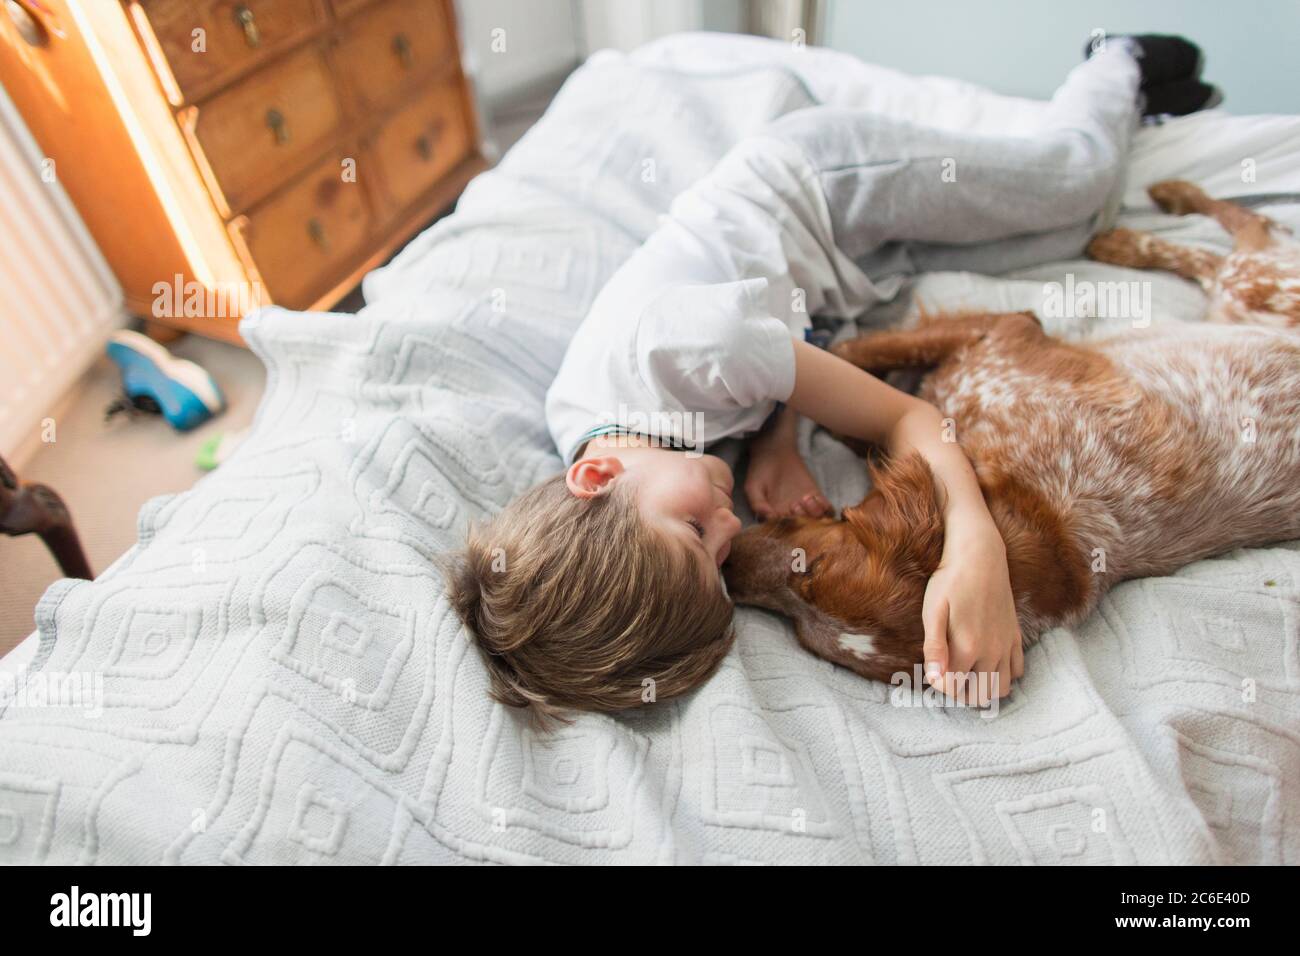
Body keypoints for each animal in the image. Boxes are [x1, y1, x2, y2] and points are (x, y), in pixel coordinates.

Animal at [728, 183, 1294, 686]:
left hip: (1255, 282)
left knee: (1242, 236)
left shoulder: (1003, 335)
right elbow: (865, 367)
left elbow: (853, 359)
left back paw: (1139, 227)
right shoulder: (1000, 338)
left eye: (809, 572)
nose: (728, 563)